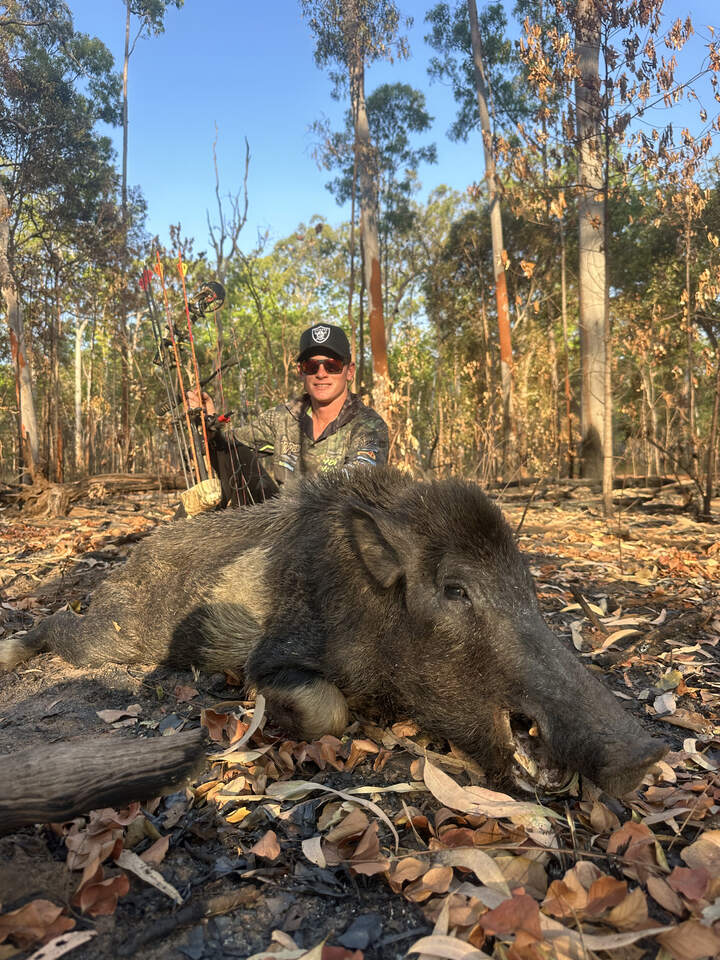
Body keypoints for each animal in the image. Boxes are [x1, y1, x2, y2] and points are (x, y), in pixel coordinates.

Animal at [0, 467, 666, 795]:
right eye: (456, 590)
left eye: (525, 584)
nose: (647, 753)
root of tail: (127, 559)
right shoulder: (277, 653)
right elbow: (329, 710)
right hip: (118, 632)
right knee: (61, 627)